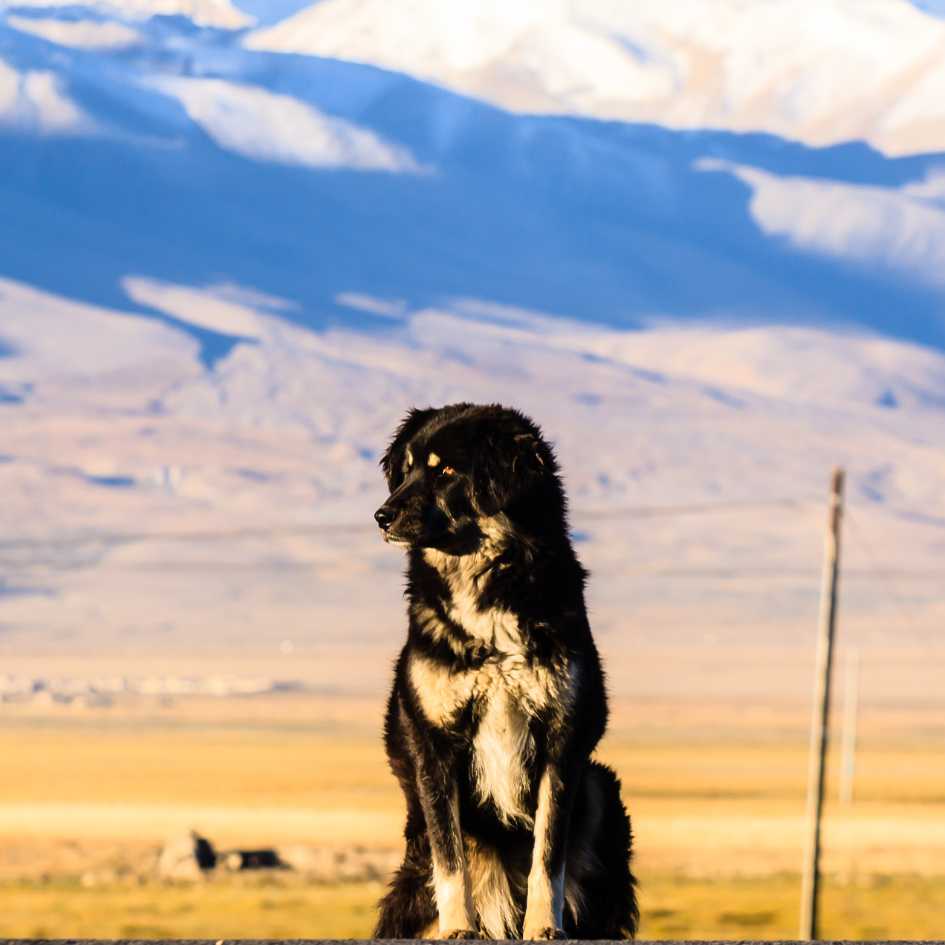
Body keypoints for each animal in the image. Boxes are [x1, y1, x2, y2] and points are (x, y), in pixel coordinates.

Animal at [372, 402, 636, 940]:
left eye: (445, 471)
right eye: (405, 470)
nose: (381, 515)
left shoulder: (562, 737)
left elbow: (548, 854)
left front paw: (544, 926)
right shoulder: (433, 741)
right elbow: (450, 856)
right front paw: (458, 927)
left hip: (599, 787)